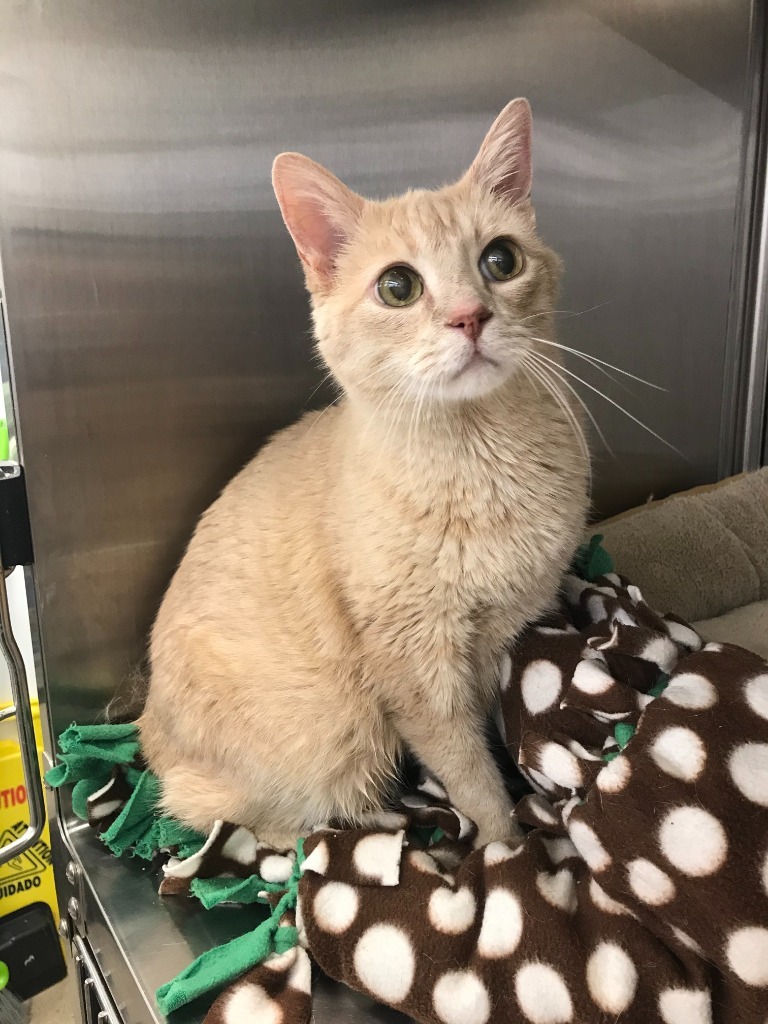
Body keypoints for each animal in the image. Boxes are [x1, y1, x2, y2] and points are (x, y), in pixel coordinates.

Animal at [140, 99, 589, 847]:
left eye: (501, 259)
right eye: (397, 286)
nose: (470, 317)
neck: (479, 462)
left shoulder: (494, 637)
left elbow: (489, 735)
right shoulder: (417, 668)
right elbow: (467, 770)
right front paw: (505, 845)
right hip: (330, 745)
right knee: (249, 827)